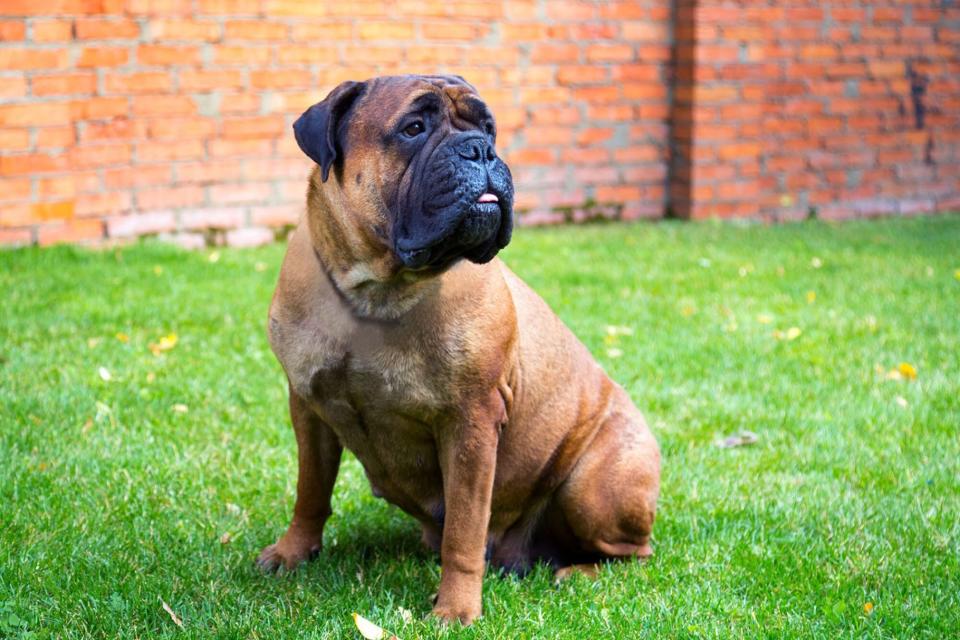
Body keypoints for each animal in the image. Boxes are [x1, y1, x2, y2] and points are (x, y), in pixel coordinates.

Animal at [255, 75, 660, 624]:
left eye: (489, 129)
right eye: (413, 128)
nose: (481, 150)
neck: (376, 292)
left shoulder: (470, 424)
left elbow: (464, 531)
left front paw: (455, 609)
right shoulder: (309, 406)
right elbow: (310, 491)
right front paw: (293, 552)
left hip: (595, 486)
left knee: (634, 554)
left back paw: (577, 573)